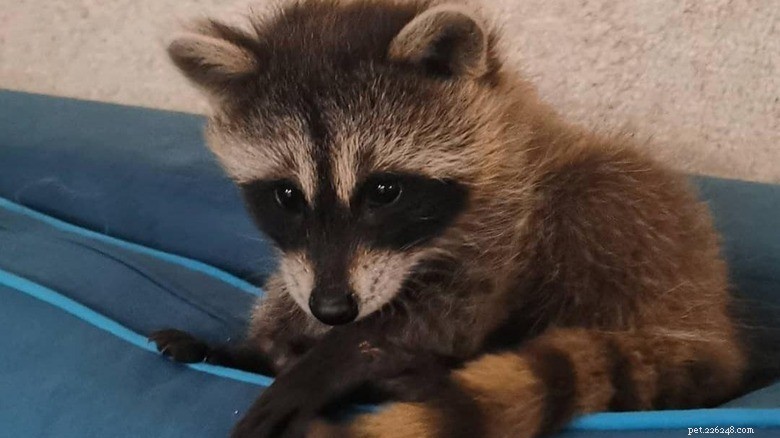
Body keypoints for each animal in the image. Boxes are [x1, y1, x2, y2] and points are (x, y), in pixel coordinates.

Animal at [149, 1, 752, 437]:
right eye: (287, 196)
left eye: (384, 191)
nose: (334, 310)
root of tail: (710, 323)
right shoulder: (313, 265)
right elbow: (291, 288)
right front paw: (259, 345)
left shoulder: (510, 213)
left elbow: (450, 314)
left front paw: (338, 358)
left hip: (637, 232)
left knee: (599, 193)